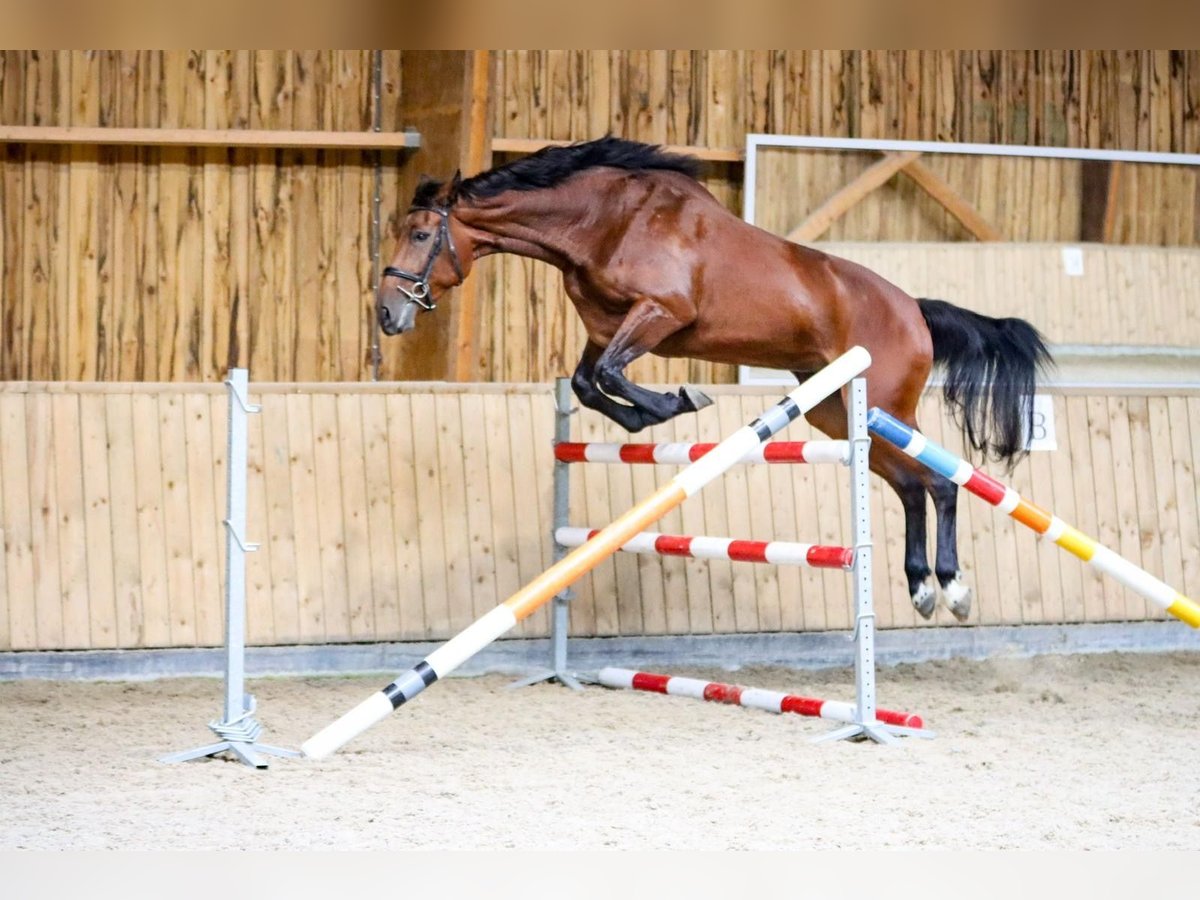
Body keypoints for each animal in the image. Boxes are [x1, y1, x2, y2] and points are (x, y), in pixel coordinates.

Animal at [381, 137, 1051, 624]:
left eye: (421, 235)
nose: (388, 314)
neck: (605, 222)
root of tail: (913, 307)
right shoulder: (608, 328)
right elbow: (588, 383)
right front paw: (650, 414)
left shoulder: (660, 315)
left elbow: (609, 374)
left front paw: (677, 400)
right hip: (837, 413)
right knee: (913, 487)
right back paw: (921, 589)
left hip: (887, 406)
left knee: (941, 483)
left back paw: (952, 589)